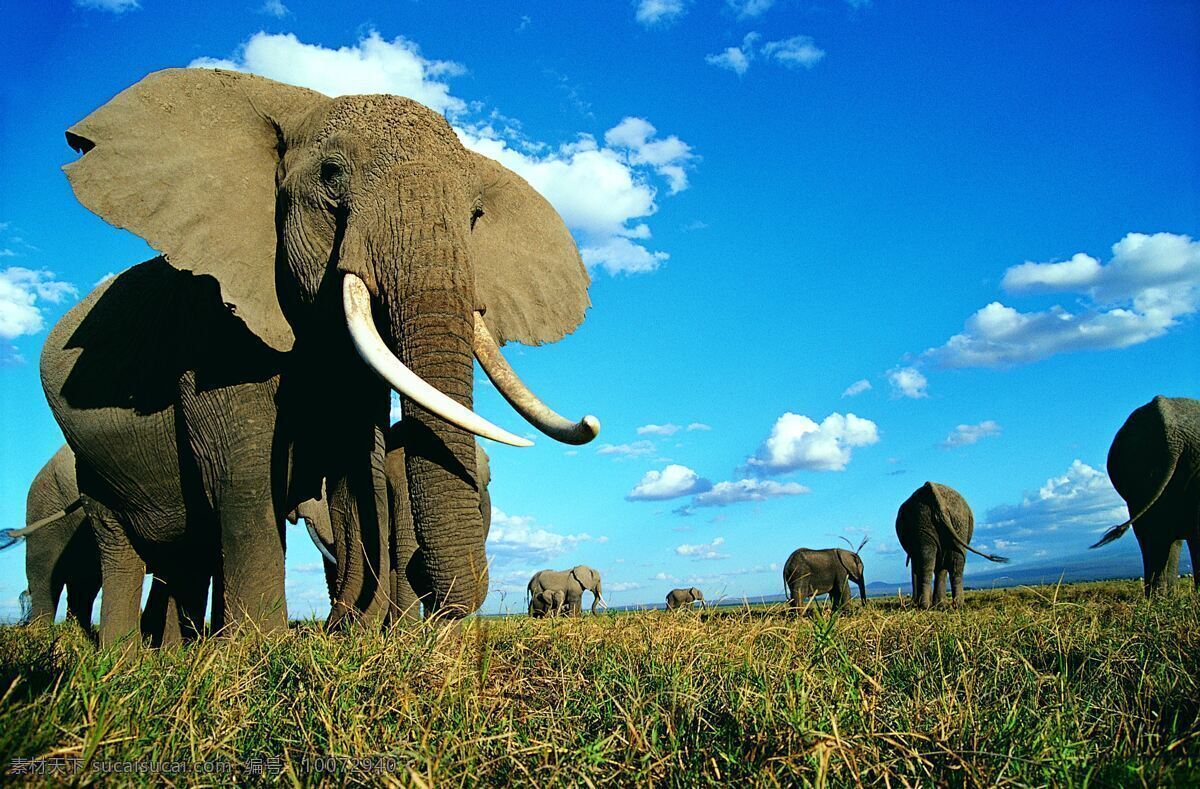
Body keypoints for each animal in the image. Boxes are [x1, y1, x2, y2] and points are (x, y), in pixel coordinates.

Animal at [40, 68, 600, 644]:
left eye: (476, 215)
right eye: (332, 176)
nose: (336, 621)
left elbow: (357, 464)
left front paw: (353, 634)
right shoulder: (212, 330)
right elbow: (245, 480)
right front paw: (259, 648)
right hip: (92, 464)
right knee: (123, 549)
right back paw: (126, 656)